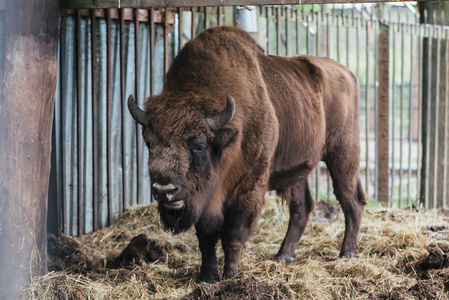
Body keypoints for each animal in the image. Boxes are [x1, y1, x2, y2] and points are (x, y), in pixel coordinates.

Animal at [128, 25, 366, 282]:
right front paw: (208, 276)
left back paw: (347, 253)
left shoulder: (249, 188)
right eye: (149, 143)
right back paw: (283, 256)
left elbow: (234, 233)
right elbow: (206, 237)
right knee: (302, 207)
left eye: (199, 145)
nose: (164, 191)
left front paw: (231, 275)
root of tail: (347, 73)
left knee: (351, 200)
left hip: (343, 153)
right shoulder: (206, 200)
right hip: (298, 169)